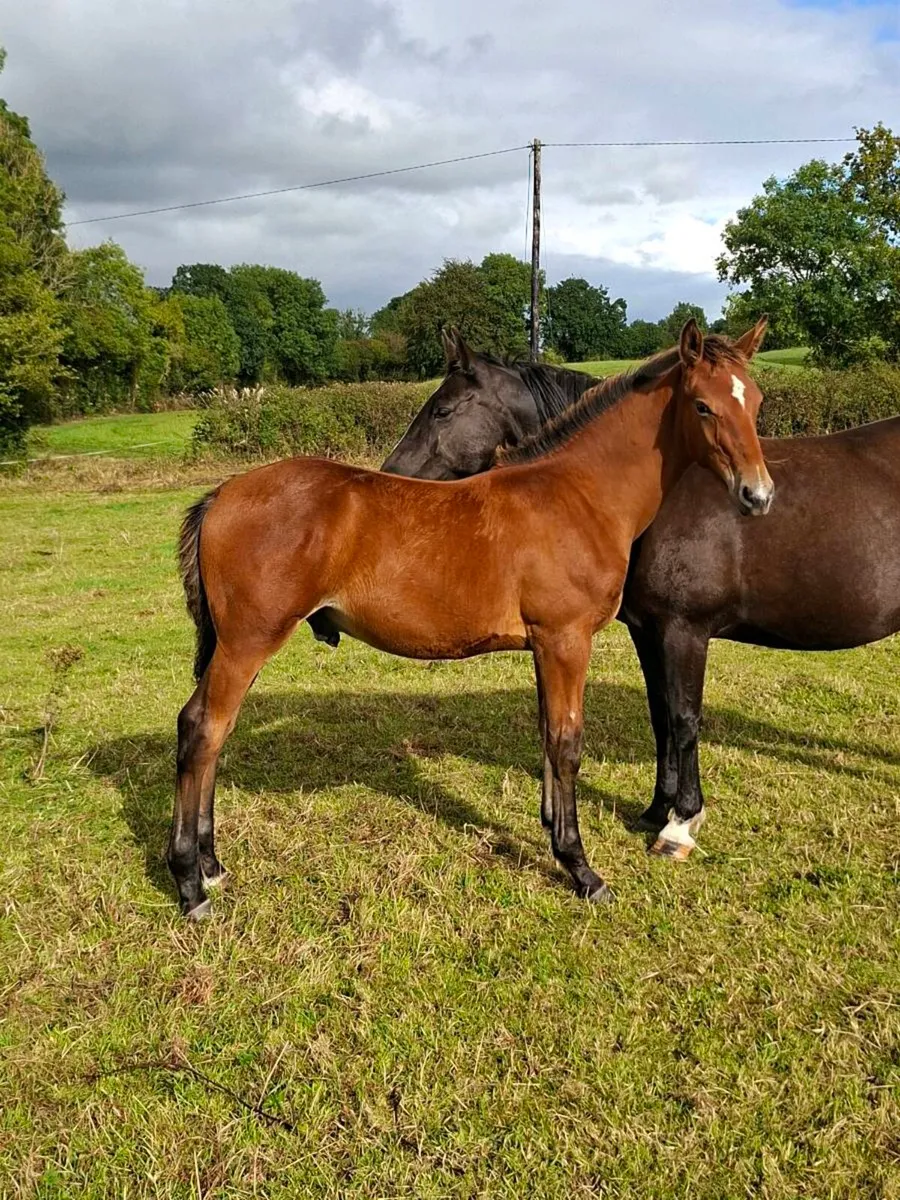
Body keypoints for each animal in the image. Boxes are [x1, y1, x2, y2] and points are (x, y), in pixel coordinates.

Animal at [170, 319, 772, 919]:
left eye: (756, 401)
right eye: (702, 406)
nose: (758, 494)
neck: (575, 494)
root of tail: (222, 493)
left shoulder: (544, 646)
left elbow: (548, 735)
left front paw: (553, 834)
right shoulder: (567, 640)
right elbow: (568, 744)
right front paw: (581, 868)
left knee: (204, 728)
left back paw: (211, 865)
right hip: (248, 642)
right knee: (204, 730)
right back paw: (191, 884)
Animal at [384, 327, 900, 861]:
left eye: (442, 410)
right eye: (704, 407)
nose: (390, 472)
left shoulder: (684, 631)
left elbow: (684, 717)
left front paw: (681, 823)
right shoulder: (647, 631)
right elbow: (660, 718)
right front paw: (656, 809)